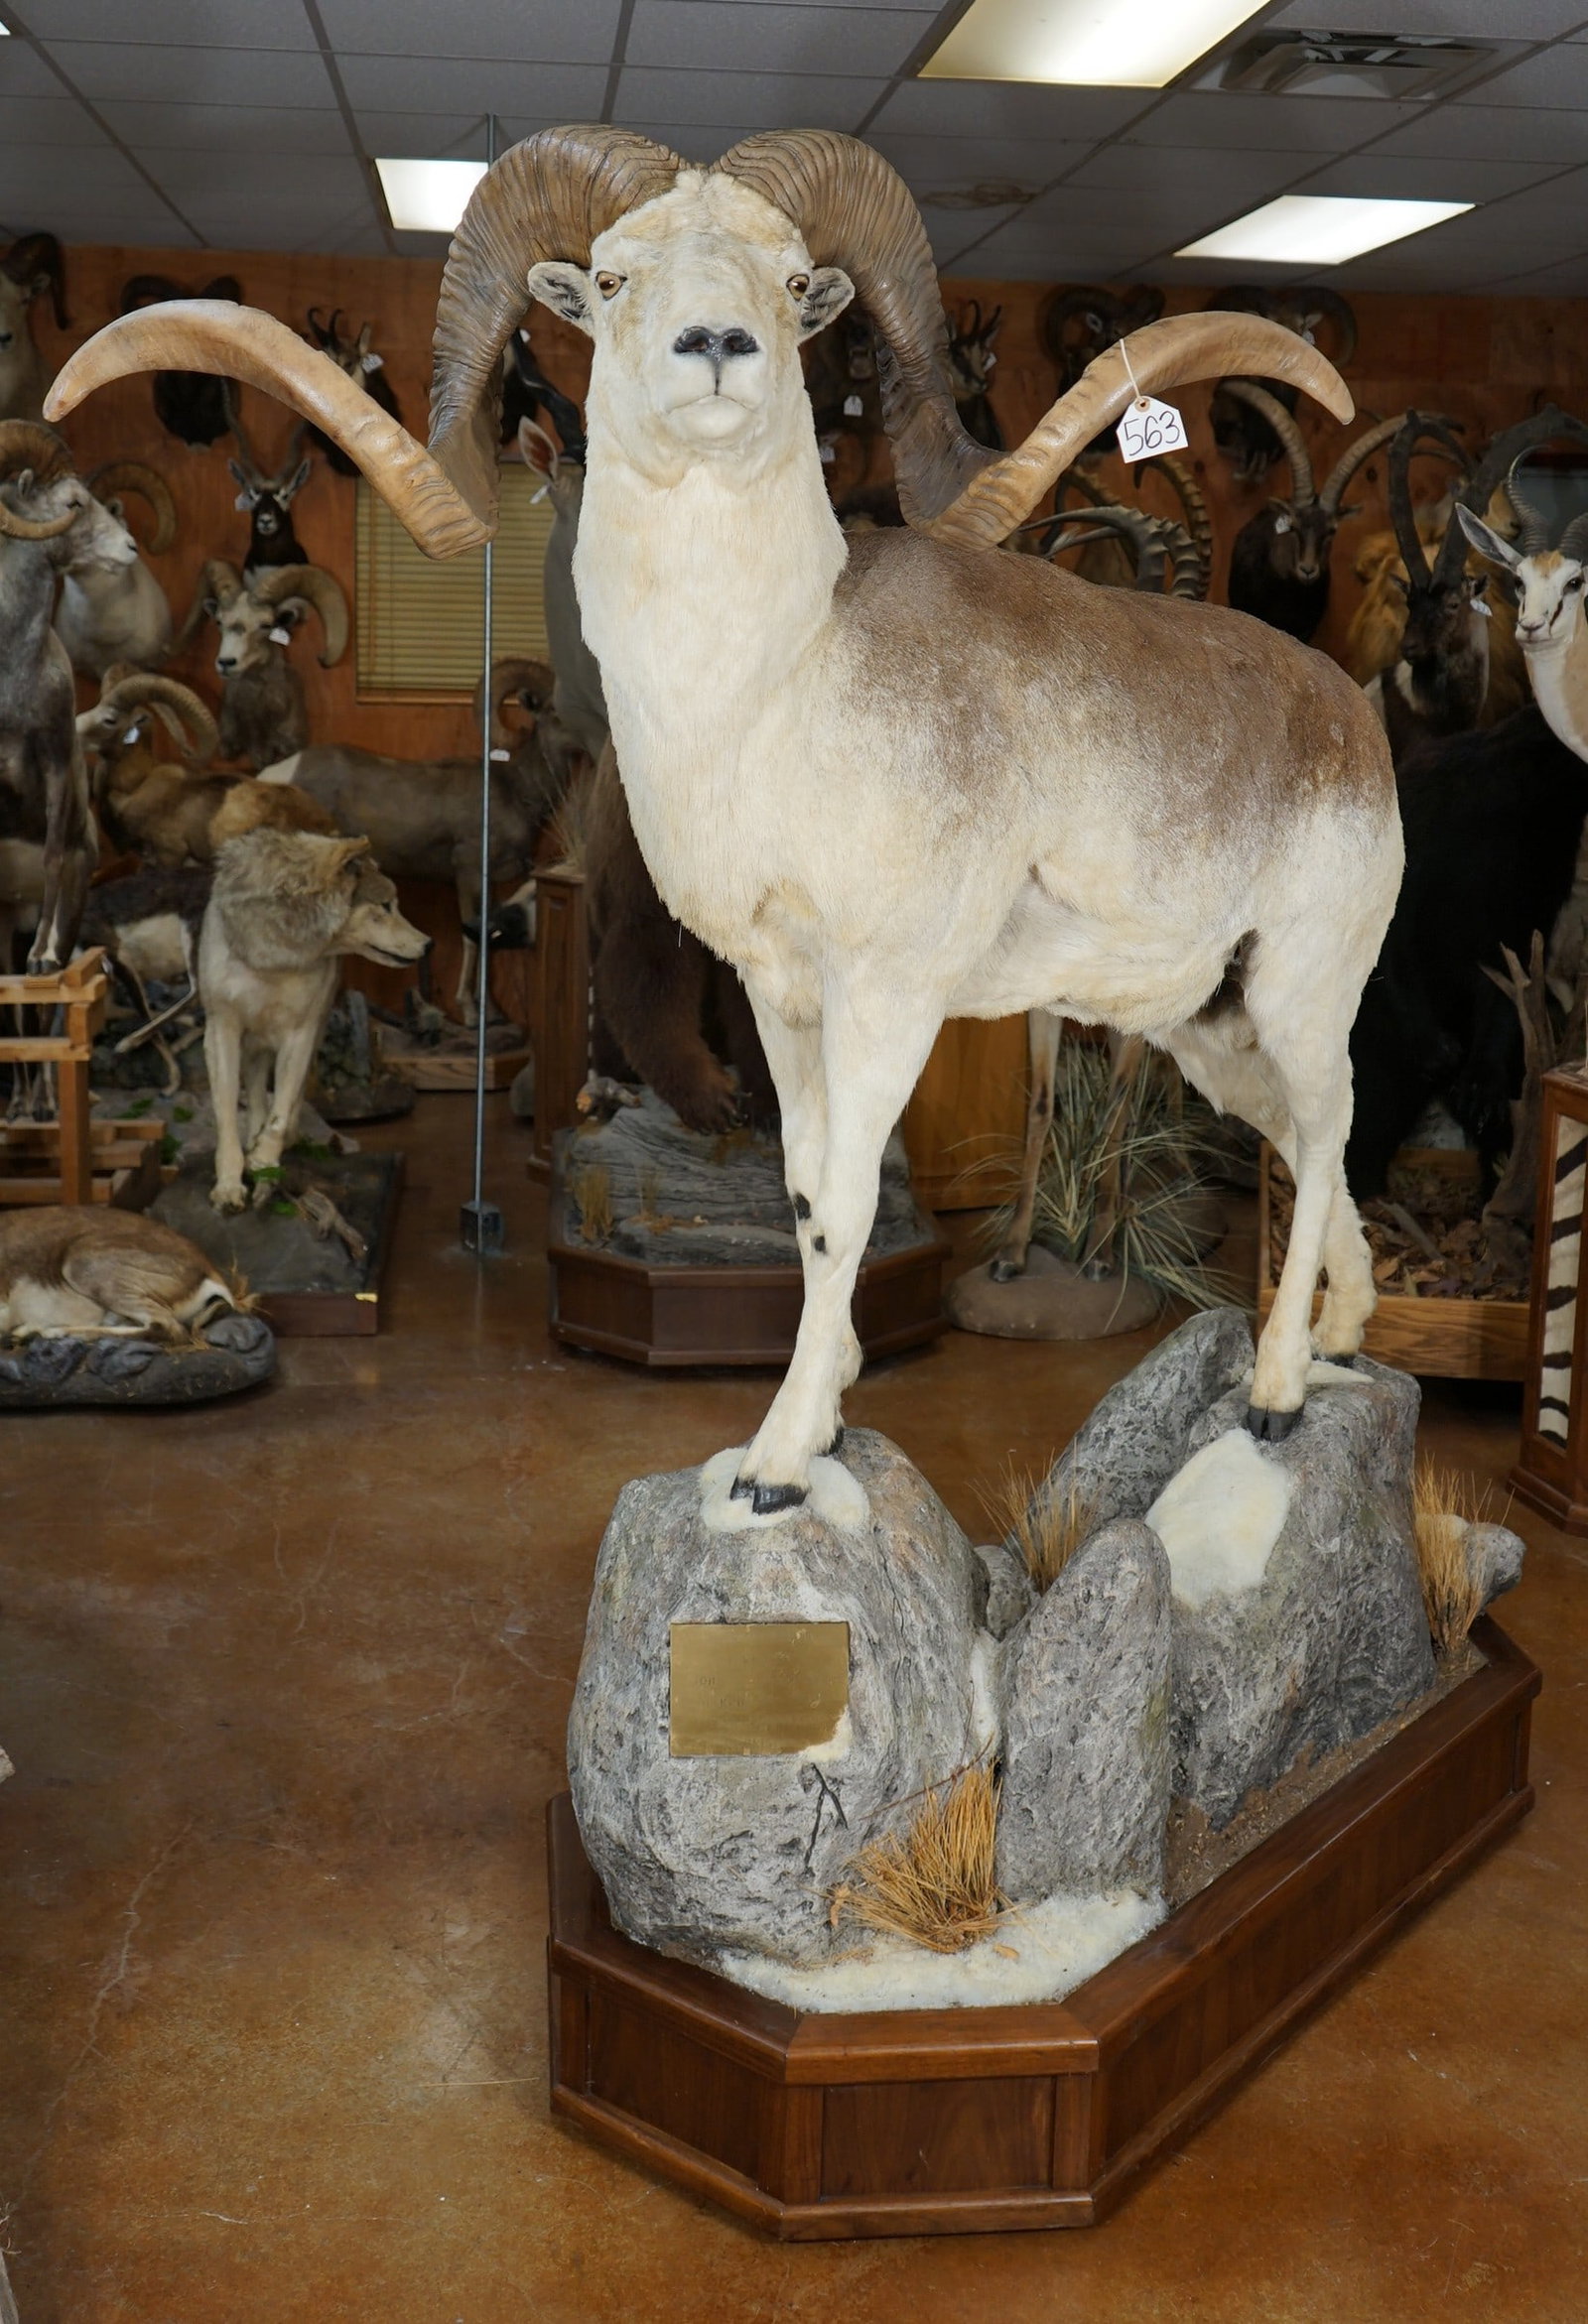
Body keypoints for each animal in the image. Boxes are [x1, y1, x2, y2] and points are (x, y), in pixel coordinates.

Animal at [259, 658, 564, 1023]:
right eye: (553, 709)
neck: (515, 791)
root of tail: (272, 780)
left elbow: (488, 935)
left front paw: (491, 1013)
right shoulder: (469, 872)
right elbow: (473, 940)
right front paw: (470, 1013)